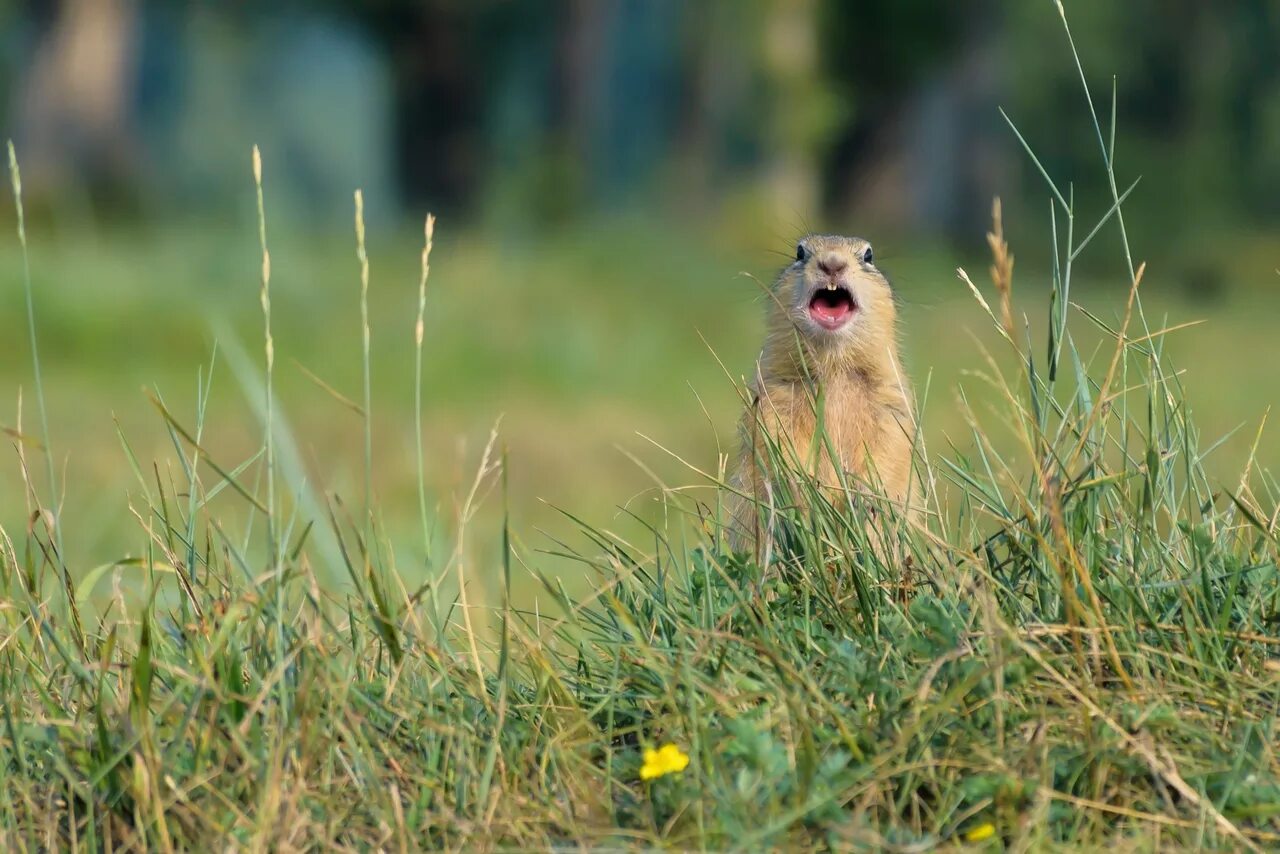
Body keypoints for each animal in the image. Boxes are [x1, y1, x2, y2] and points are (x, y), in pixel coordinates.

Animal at [721, 234, 921, 555]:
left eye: (869, 255)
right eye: (800, 253)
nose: (832, 263)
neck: (833, 365)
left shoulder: (891, 398)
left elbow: (891, 444)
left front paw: (865, 497)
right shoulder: (772, 393)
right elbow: (774, 436)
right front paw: (802, 488)